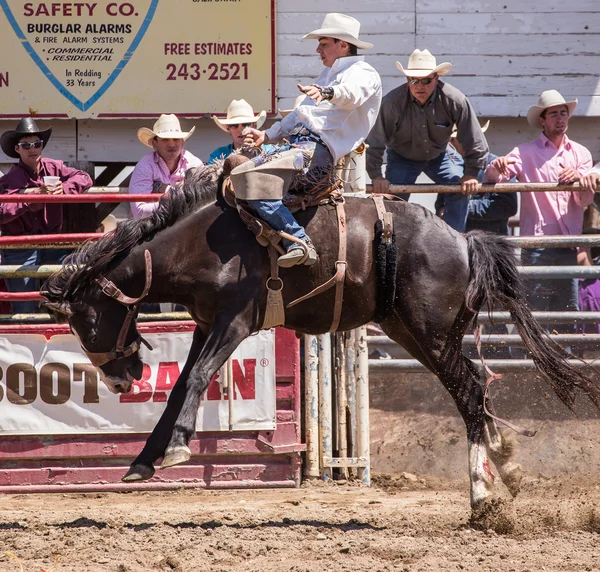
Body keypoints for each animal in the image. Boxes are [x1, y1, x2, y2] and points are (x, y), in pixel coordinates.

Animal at [42, 163, 600, 512]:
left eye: (86, 321)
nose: (121, 380)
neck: (202, 243)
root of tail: (464, 240)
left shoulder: (235, 323)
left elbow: (198, 377)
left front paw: (177, 450)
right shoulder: (205, 325)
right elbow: (181, 386)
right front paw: (140, 463)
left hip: (433, 334)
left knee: (468, 391)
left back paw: (482, 496)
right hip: (411, 332)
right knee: (477, 388)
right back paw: (506, 466)